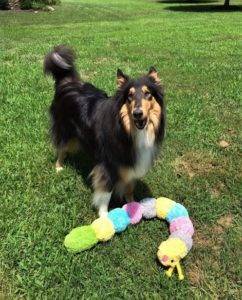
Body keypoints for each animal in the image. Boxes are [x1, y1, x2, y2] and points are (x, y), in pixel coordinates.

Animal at [44, 45, 165, 216]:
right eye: (129, 96)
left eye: (148, 93)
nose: (137, 113)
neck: (127, 130)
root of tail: (66, 83)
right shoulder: (108, 166)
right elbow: (105, 194)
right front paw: (104, 216)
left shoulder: (131, 164)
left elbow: (129, 188)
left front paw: (132, 204)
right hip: (64, 129)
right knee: (61, 147)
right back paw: (59, 167)